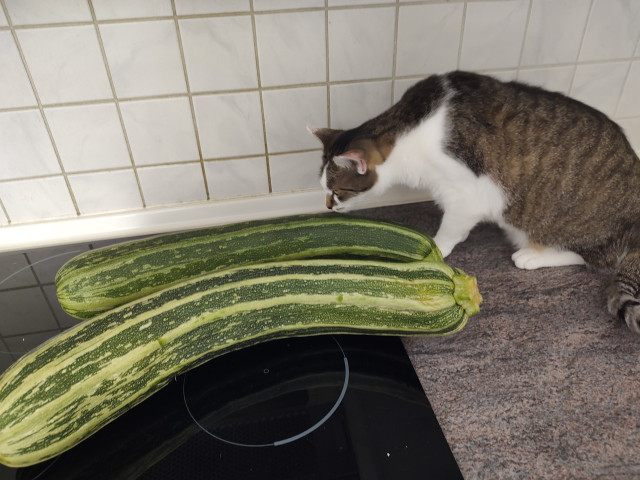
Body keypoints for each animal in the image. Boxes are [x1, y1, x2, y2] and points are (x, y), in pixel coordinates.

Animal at [306, 70, 640, 334]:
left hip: (548, 221)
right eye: (324, 189)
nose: (328, 207)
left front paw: (436, 249)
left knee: (596, 258)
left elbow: (451, 231)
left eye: (337, 191)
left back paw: (531, 256)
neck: (406, 133)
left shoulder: (468, 196)